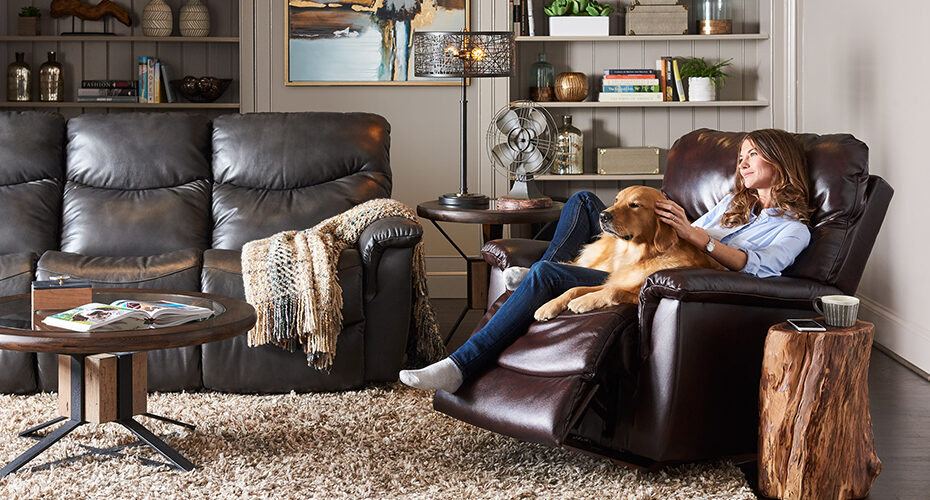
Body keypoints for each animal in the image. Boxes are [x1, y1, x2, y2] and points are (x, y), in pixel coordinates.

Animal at [532, 186, 720, 322]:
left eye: (634, 205)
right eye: (616, 200)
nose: (603, 215)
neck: (642, 255)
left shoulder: (636, 294)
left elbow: (612, 292)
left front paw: (582, 301)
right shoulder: (616, 279)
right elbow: (575, 288)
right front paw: (548, 306)